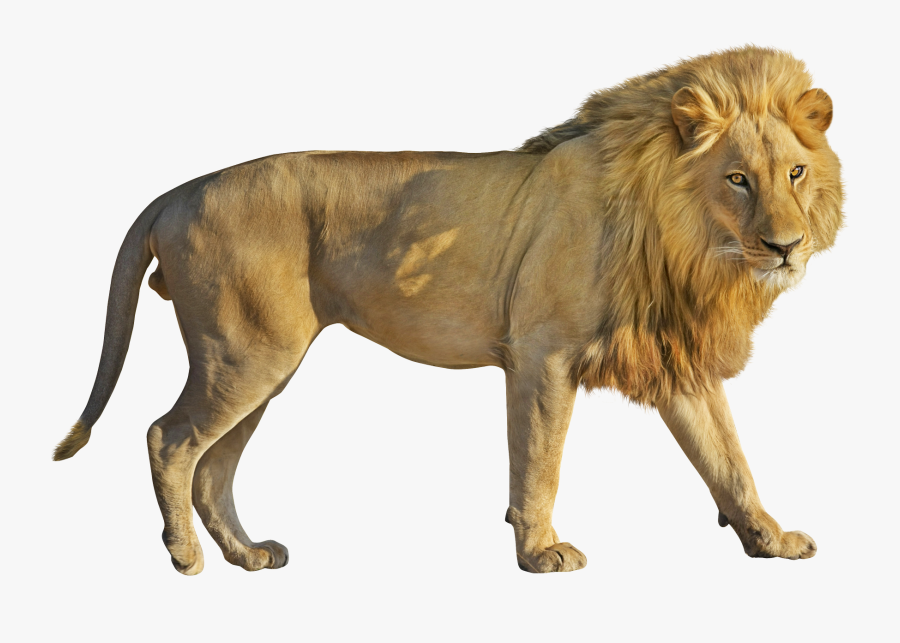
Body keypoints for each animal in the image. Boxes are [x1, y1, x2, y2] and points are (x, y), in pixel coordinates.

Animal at [54, 46, 842, 574]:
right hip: (247, 353)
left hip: (261, 363)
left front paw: (770, 539)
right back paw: (185, 557)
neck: (687, 243)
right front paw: (541, 551)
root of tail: (178, 190)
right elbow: (539, 459)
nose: (786, 246)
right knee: (169, 438)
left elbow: (729, 459)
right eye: (737, 179)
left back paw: (247, 555)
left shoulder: (675, 359)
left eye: (796, 173)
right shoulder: (542, 352)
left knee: (213, 465)